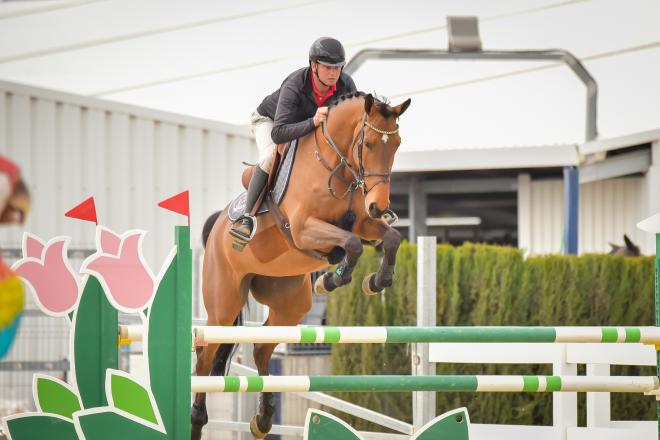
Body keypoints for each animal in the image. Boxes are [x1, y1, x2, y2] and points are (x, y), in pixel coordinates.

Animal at [189, 91, 412, 438]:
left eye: (398, 143)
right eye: (370, 143)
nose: (379, 206)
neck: (337, 167)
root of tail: (216, 228)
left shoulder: (362, 223)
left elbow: (390, 238)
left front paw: (374, 281)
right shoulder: (305, 228)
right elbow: (350, 244)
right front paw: (333, 277)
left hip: (289, 302)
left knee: (261, 348)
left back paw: (263, 418)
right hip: (223, 304)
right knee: (205, 356)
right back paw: (198, 420)